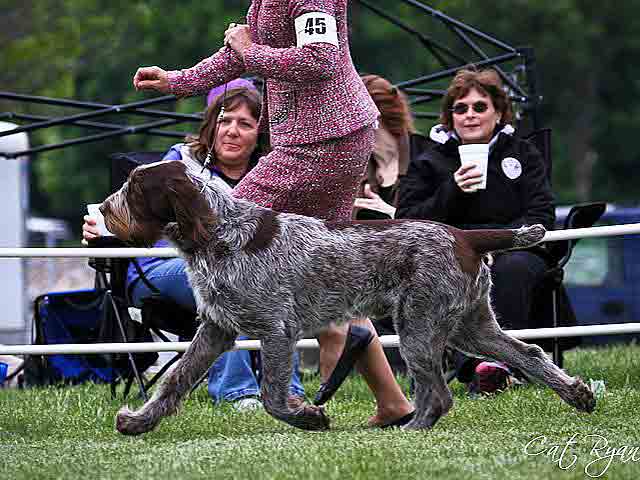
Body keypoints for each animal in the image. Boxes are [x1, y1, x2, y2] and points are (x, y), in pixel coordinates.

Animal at [100, 159, 596, 434]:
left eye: (135, 188)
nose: (103, 208)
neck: (220, 231)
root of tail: (466, 237)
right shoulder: (217, 330)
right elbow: (174, 381)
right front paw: (139, 422)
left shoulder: (276, 329)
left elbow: (273, 396)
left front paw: (309, 418)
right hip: (468, 325)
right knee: (529, 353)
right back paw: (577, 394)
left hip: (419, 327)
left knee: (439, 394)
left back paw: (411, 430)